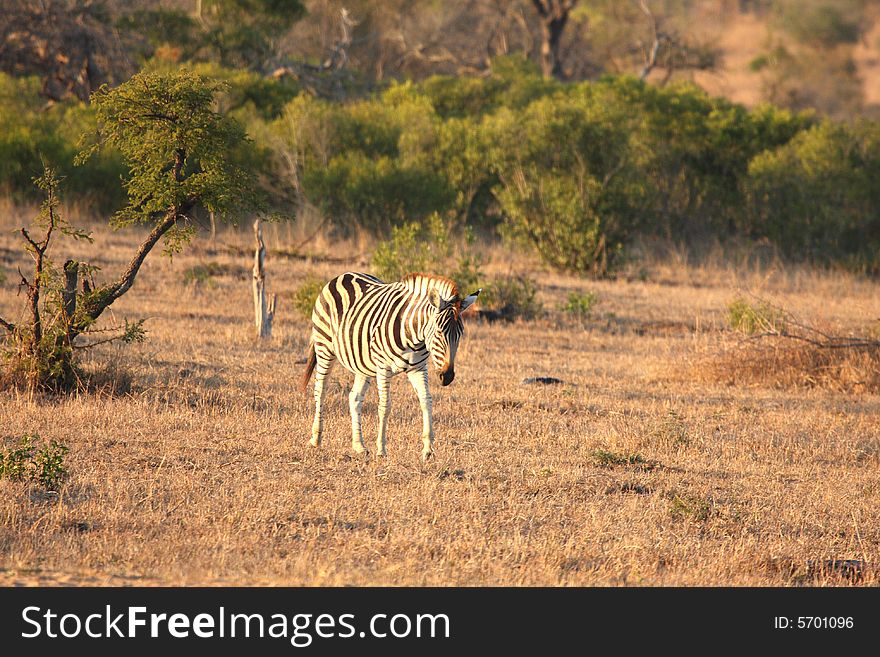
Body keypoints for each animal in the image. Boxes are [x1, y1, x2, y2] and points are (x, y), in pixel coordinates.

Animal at [302, 270, 482, 458]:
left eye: (460, 334)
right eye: (439, 332)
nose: (447, 377)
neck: (414, 334)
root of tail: (342, 275)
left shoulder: (418, 368)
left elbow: (426, 401)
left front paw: (428, 449)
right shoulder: (383, 367)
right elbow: (385, 406)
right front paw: (381, 449)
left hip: (363, 363)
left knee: (355, 398)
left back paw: (359, 446)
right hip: (324, 348)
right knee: (320, 391)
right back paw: (316, 439)